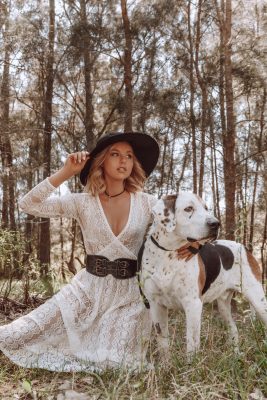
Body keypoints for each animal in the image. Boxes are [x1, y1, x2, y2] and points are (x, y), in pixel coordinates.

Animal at [141, 193, 266, 356]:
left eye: (206, 208)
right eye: (188, 208)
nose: (216, 224)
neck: (169, 254)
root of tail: (242, 246)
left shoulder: (193, 304)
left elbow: (192, 345)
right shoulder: (156, 305)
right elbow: (163, 346)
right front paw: (166, 362)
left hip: (258, 300)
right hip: (223, 306)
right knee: (233, 329)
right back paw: (235, 355)